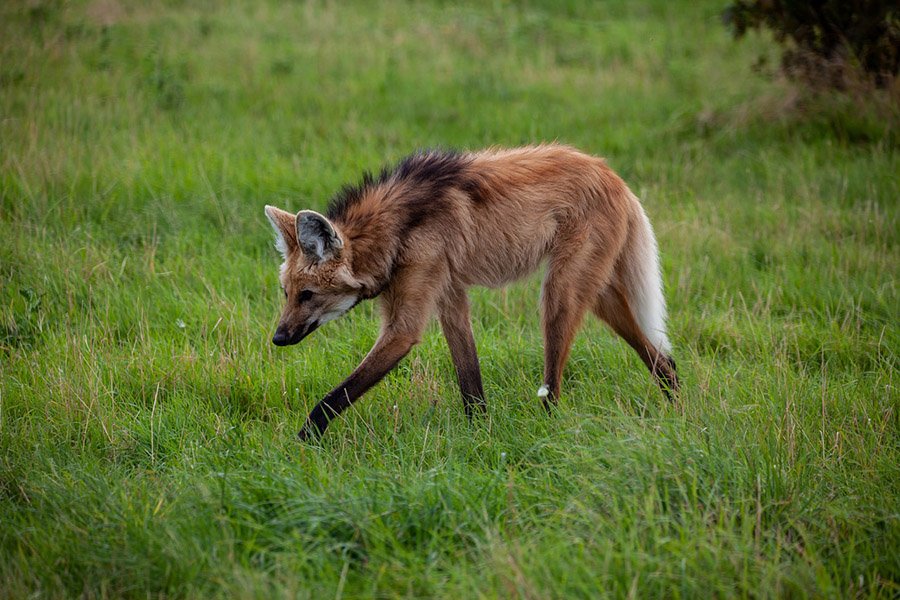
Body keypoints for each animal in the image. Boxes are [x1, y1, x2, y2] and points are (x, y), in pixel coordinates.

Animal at [264, 144, 678, 440]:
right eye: (286, 293)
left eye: (307, 295)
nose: (278, 338)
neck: (396, 231)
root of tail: (612, 175)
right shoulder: (449, 293)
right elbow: (470, 380)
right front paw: (480, 433)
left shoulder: (405, 324)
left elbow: (335, 396)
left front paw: (301, 444)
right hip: (598, 292)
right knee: (662, 357)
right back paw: (677, 408)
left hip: (560, 294)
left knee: (556, 384)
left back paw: (549, 430)